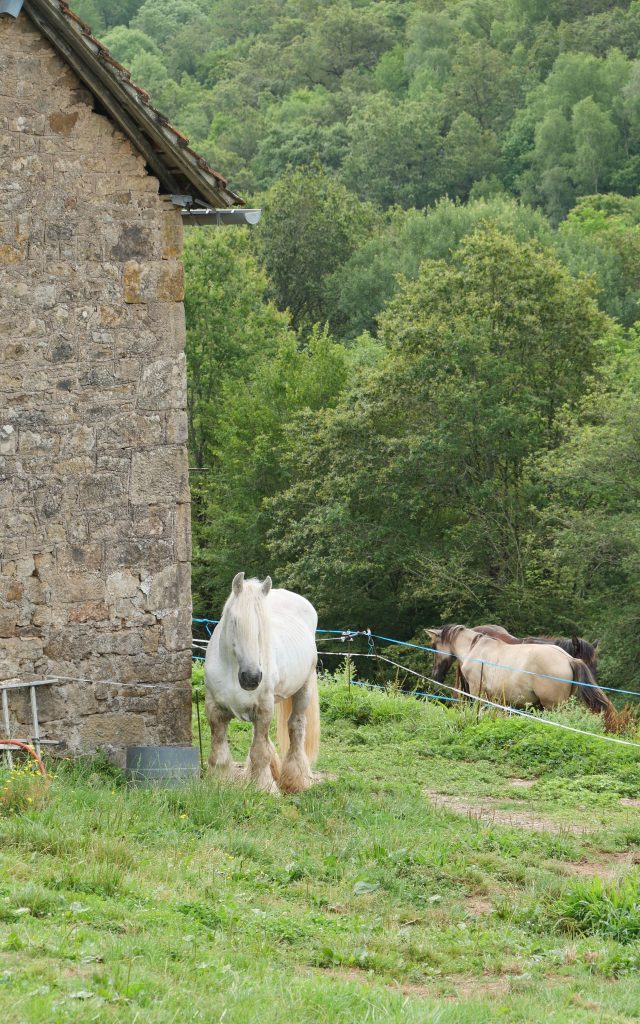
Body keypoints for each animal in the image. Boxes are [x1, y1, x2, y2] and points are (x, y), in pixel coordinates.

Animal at [204, 573, 319, 794]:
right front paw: (221, 782)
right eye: (234, 622)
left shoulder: (264, 708)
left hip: (304, 687)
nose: (251, 677)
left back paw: (296, 779)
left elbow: (259, 752)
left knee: (296, 727)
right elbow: (219, 750)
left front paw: (264, 788)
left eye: (262, 626)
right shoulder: (215, 708)